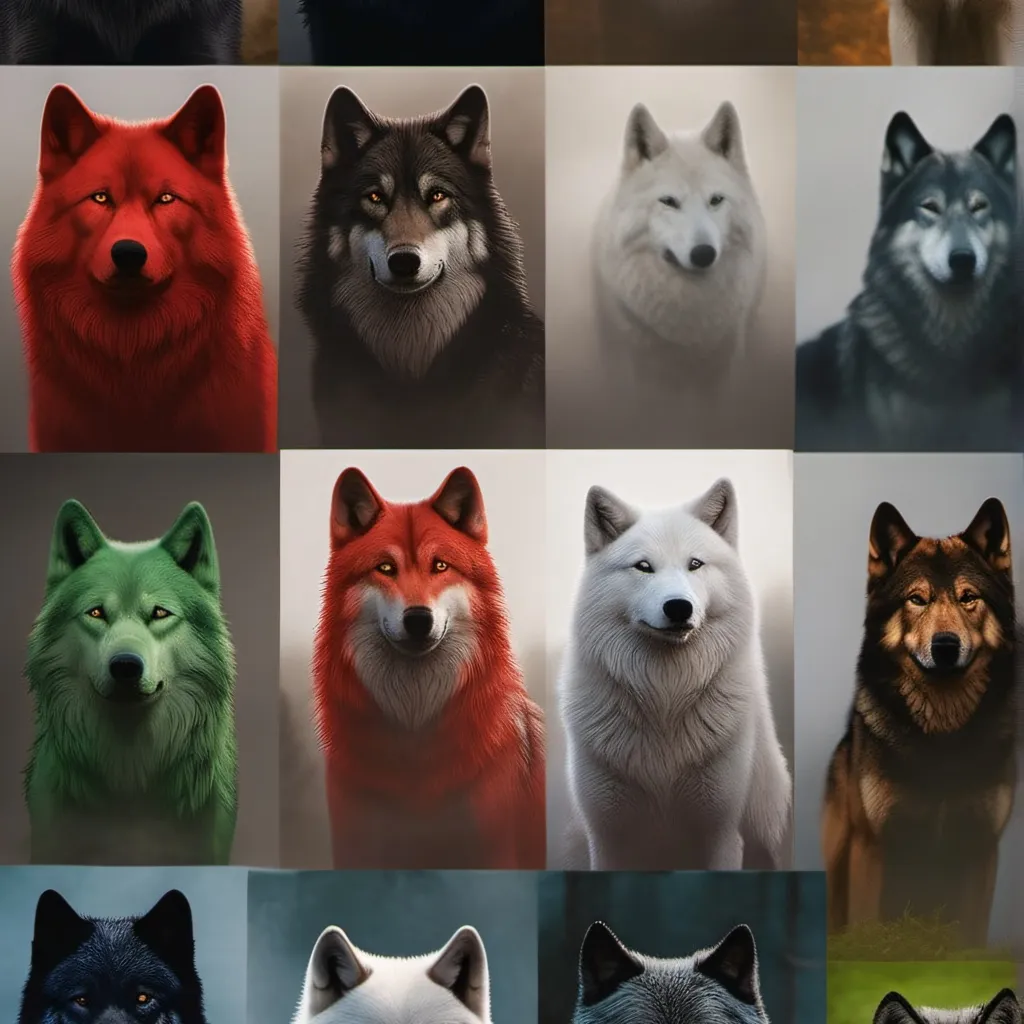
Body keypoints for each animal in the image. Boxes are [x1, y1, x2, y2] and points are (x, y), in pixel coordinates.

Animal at [558, 477, 791, 871]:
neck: (665, 698)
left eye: (694, 564)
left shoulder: (721, 834)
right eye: (643, 567)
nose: (679, 607)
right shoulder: (608, 838)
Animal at [822, 498, 1017, 945]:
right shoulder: (872, 844)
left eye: (968, 598)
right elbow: (866, 925)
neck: (942, 740)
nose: (945, 646)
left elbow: (971, 936)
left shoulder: (982, 846)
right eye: (917, 599)